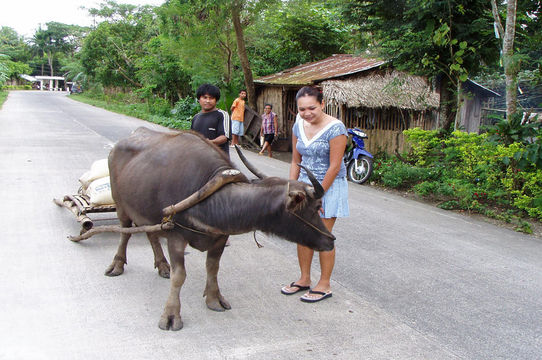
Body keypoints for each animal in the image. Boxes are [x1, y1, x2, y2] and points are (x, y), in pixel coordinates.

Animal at [107, 127, 336, 332]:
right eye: (317, 206)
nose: (331, 240)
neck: (210, 201)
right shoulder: (175, 236)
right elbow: (179, 276)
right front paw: (171, 315)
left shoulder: (220, 237)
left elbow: (213, 268)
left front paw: (214, 299)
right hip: (121, 206)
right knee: (124, 232)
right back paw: (117, 265)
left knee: (150, 233)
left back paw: (162, 266)